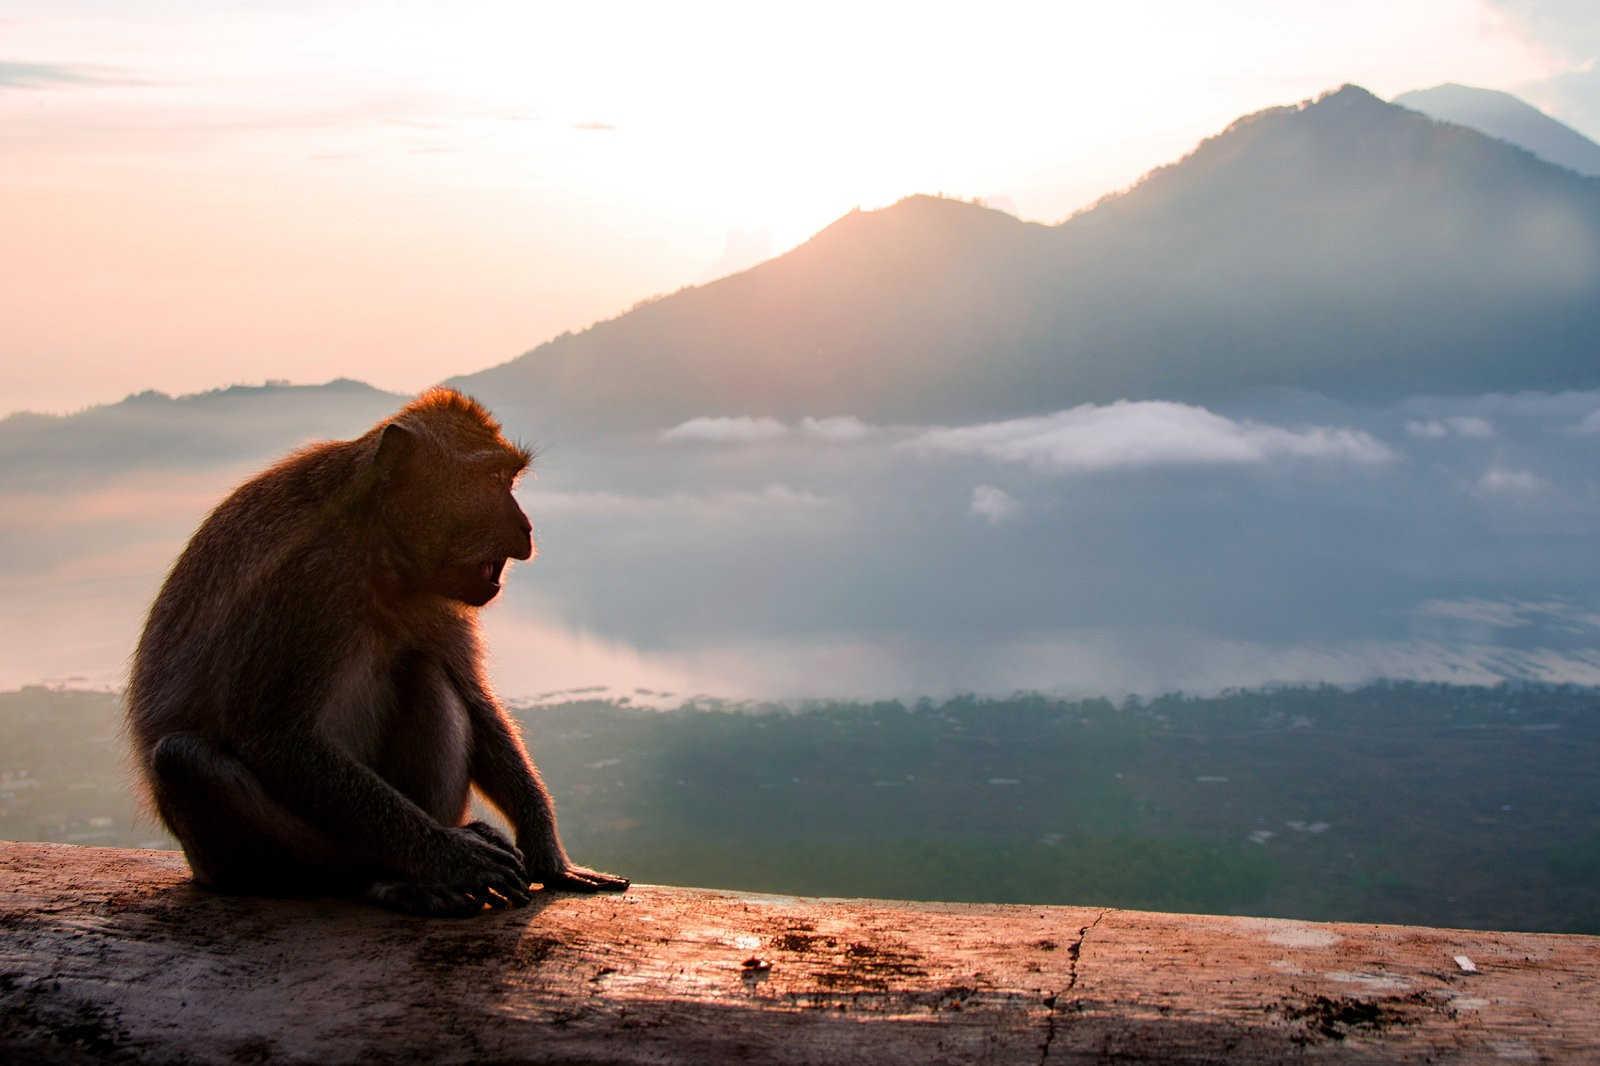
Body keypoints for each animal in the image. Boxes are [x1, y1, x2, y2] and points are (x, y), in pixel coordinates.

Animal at [126, 385, 624, 909]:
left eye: (509, 479)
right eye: (493, 479)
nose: (527, 527)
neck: (377, 549)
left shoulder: (438, 599)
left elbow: (473, 698)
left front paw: (549, 855)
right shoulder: (307, 580)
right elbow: (275, 735)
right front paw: (452, 856)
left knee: (425, 672)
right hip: (257, 855)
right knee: (184, 760)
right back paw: (385, 877)